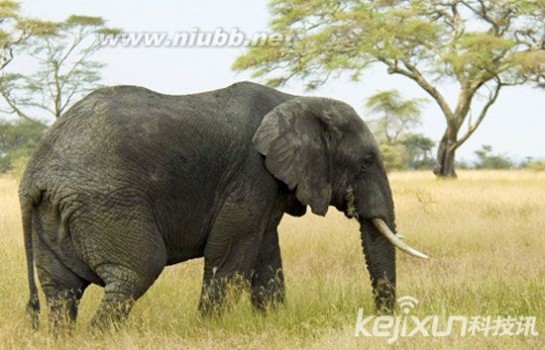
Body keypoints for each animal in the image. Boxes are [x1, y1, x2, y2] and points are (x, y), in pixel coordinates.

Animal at [19, 80, 428, 330]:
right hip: (107, 203)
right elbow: (230, 254)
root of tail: (33, 175)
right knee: (135, 272)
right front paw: (208, 328)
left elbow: (265, 254)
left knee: (62, 291)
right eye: (365, 162)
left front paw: (271, 323)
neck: (294, 100)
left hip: (55, 213)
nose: (382, 318)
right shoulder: (251, 173)